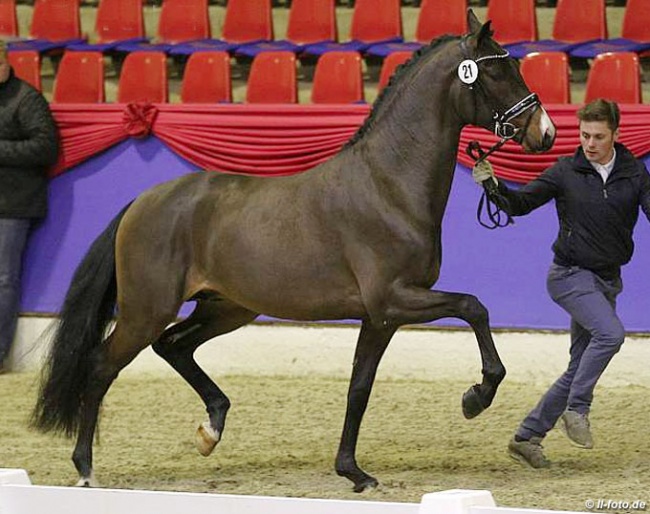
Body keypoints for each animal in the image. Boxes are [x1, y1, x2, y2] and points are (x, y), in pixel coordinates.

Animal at [33, 11, 556, 492]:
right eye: (497, 72)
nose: (546, 132)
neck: (387, 185)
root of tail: (143, 202)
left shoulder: (381, 317)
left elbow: (359, 388)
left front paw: (353, 472)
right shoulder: (395, 298)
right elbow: (474, 307)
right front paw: (476, 397)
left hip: (227, 308)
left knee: (174, 346)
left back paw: (211, 429)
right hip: (147, 310)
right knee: (102, 366)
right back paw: (85, 468)